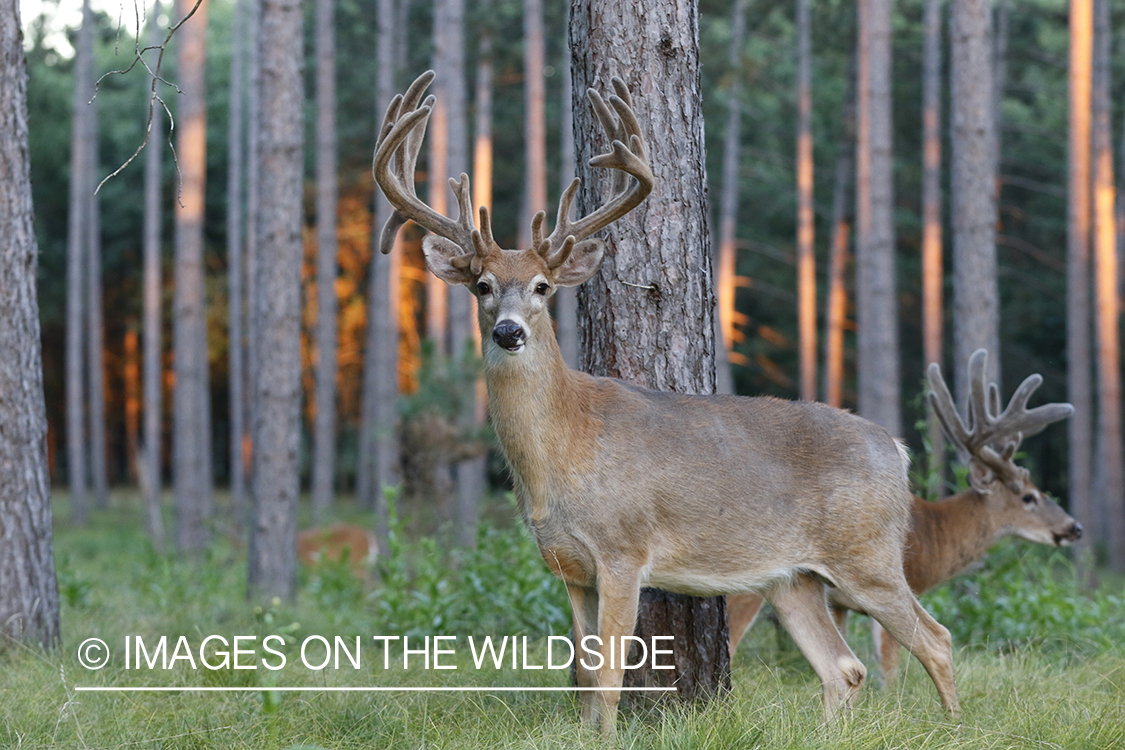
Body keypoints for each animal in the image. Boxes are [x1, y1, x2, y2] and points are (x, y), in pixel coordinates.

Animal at [375, 71, 958, 733]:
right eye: (482, 286)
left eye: (543, 288)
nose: (507, 332)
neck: (561, 452)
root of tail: (896, 448)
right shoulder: (569, 567)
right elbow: (583, 673)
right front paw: (586, 735)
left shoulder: (623, 551)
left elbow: (607, 674)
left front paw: (605, 739)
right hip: (793, 577)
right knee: (845, 667)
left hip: (868, 553)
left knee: (936, 640)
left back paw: (955, 725)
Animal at [724, 348, 1075, 683]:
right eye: (1028, 496)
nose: (1075, 527)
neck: (936, 537)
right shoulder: (902, 583)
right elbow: (889, 666)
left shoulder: (839, 604)